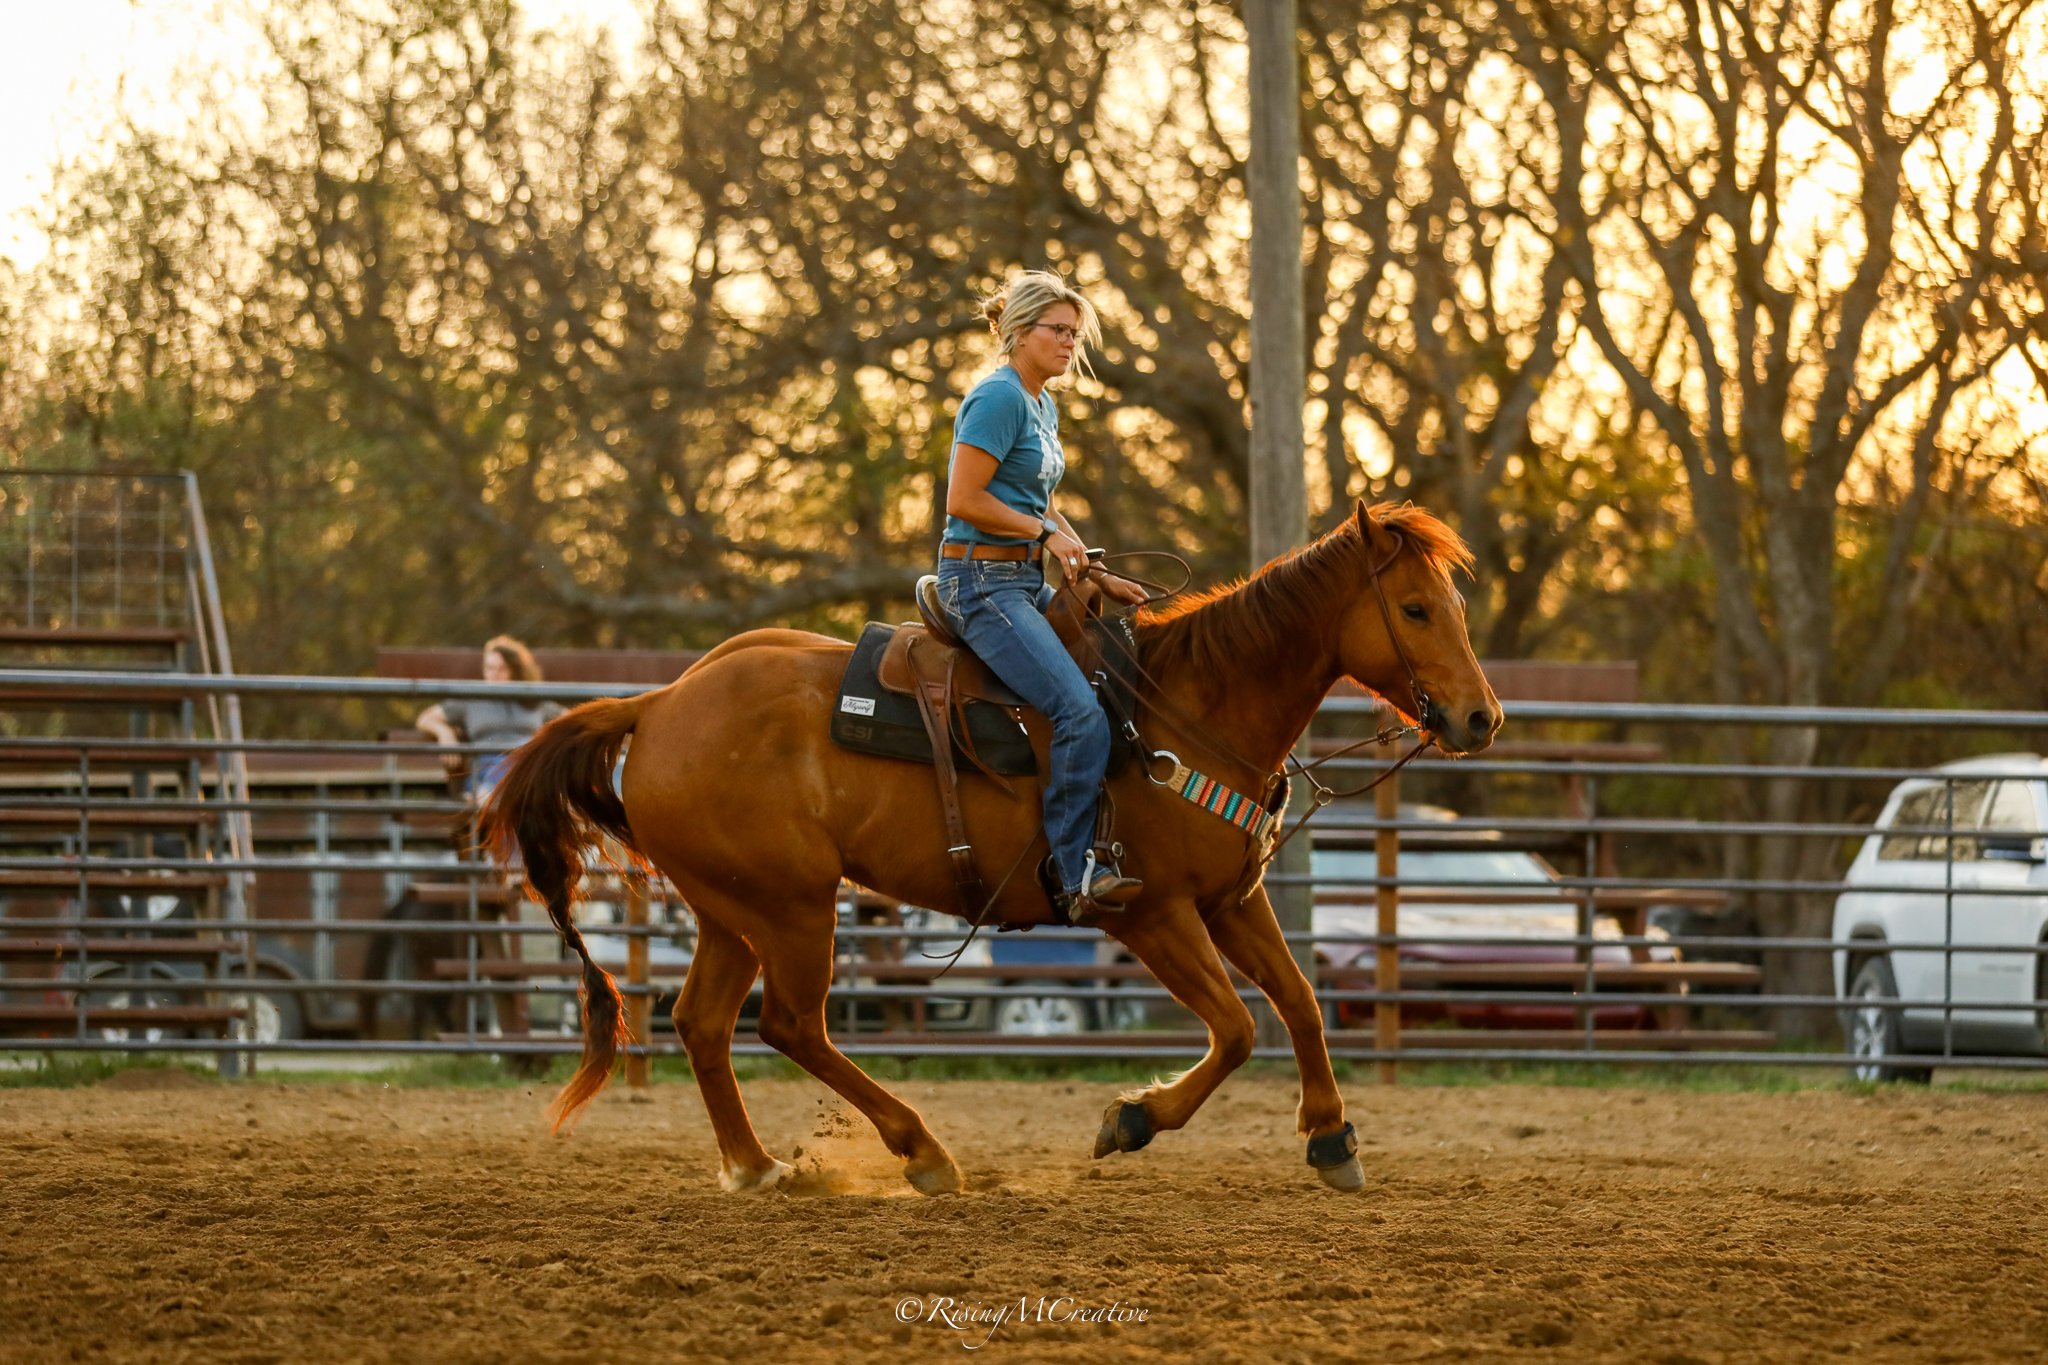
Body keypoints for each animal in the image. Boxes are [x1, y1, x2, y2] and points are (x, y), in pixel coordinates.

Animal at [479, 499, 1500, 1195]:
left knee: (702, 1023)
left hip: (732, 909)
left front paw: (1331, 1137)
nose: (1481, 717)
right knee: (791, 1025)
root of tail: (656, 705)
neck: (1186, 709)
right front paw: (1131, 1118)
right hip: (791, 907)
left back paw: (759, 1165)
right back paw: (923, 1151)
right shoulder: (1151, 914)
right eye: (1414, 608)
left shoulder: (1230, 901)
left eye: (1452, 603)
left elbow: (1300, 1005)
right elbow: (1240, 1028)